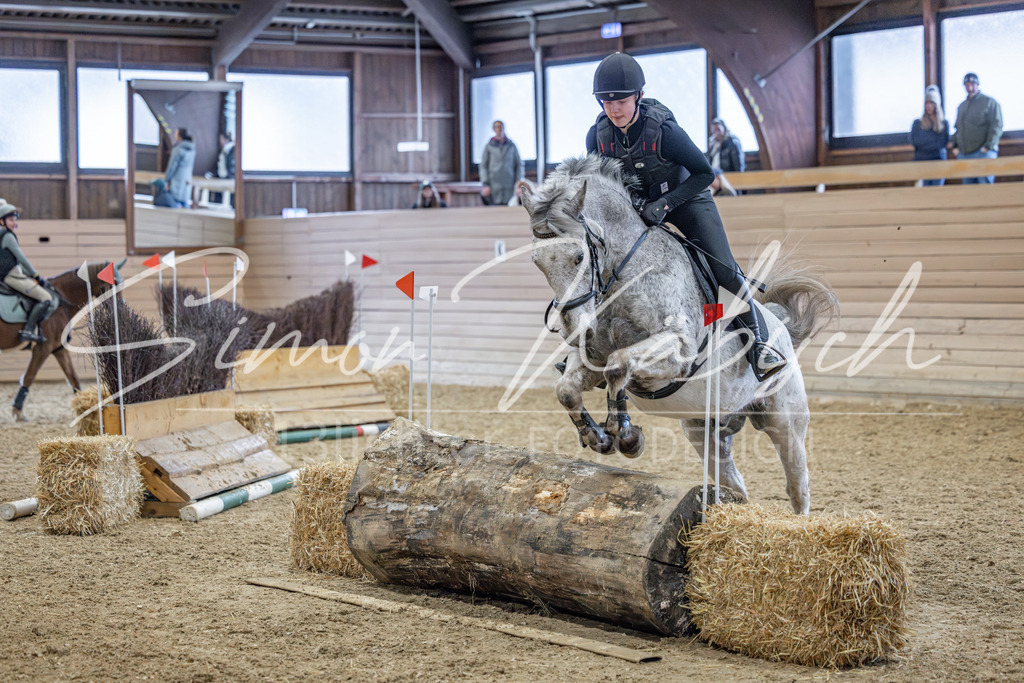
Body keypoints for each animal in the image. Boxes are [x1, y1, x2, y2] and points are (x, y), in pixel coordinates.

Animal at [2, 260, 125, 421]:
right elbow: (29, 376)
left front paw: (84, 406)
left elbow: (73, 377)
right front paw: (18, 411)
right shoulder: (43, 348)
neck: (63, 301)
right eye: (112, 284)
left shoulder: (58, 348)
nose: (121, 309)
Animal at [521, 155, 837, 514]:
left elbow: (619, 366)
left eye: (578, 257)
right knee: (734, 485)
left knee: (798, 484)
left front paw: (625, 435)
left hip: (784, 421)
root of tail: (781, 326)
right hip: (705, 431)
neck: (624, 273)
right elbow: (567, 390)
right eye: (537, 262)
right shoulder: (590, 360)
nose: (574, 331)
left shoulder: (677, 352)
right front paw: (597, 437)